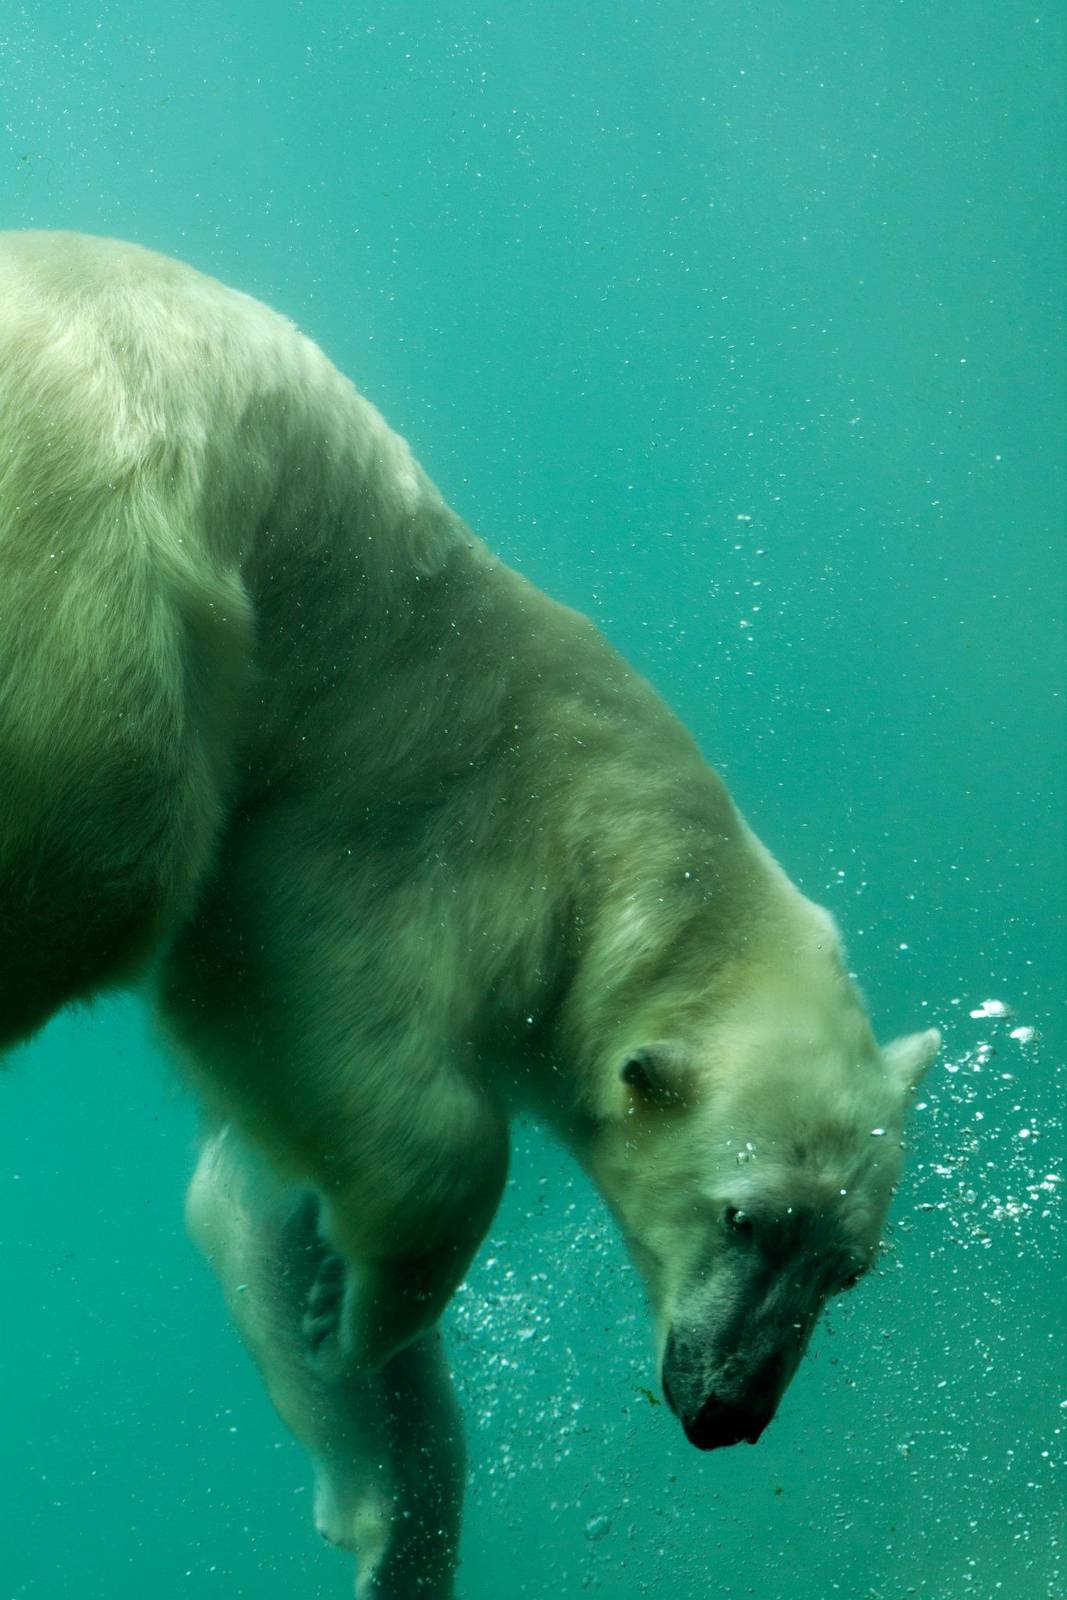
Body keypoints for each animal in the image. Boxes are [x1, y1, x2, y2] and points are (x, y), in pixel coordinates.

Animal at [0, 230, 939, 1599]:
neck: (614, 821)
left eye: (846, 1264)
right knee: (110, 836)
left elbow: (251, 1195)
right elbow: (371, 1071)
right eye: (742, 1215)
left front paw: (371, 1439)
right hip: (99, 553)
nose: (728, 1412)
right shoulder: (393, 813)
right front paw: (358, 1317)